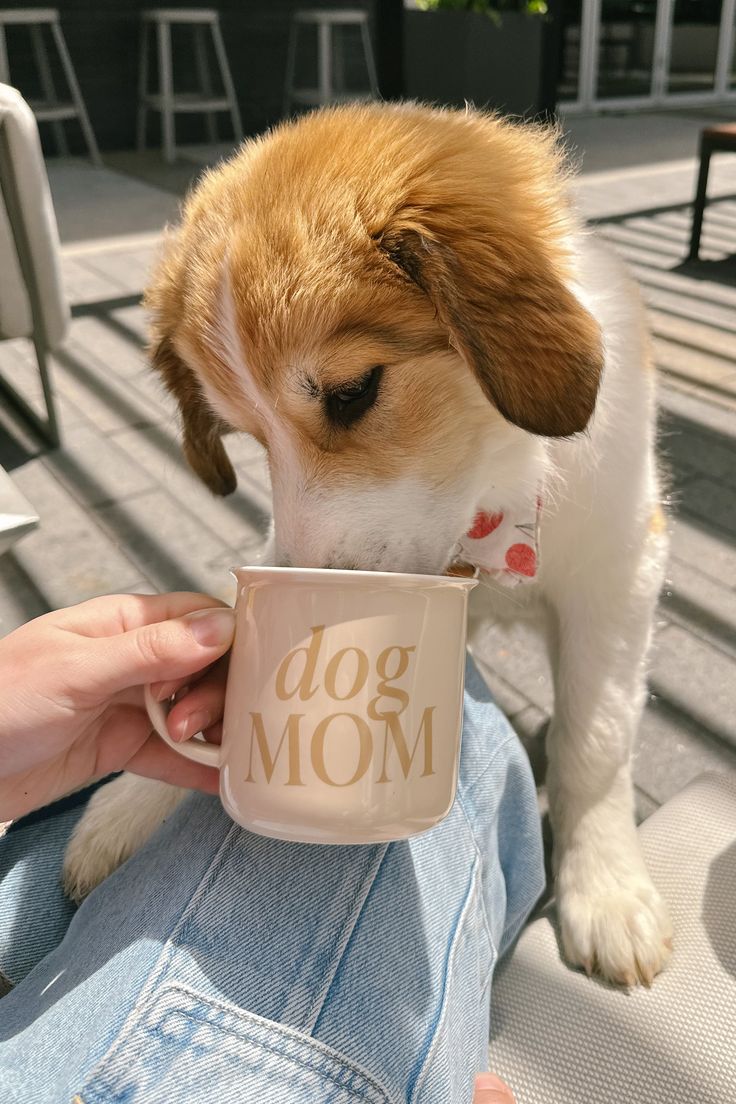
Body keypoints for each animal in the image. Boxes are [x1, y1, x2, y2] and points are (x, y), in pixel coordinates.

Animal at [63, 101, 675, 984]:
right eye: (248, 435)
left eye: (352, 393)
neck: (488, 510)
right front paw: (125, 806)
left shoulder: (619, 572)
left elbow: (595, 737)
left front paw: (607, 890)